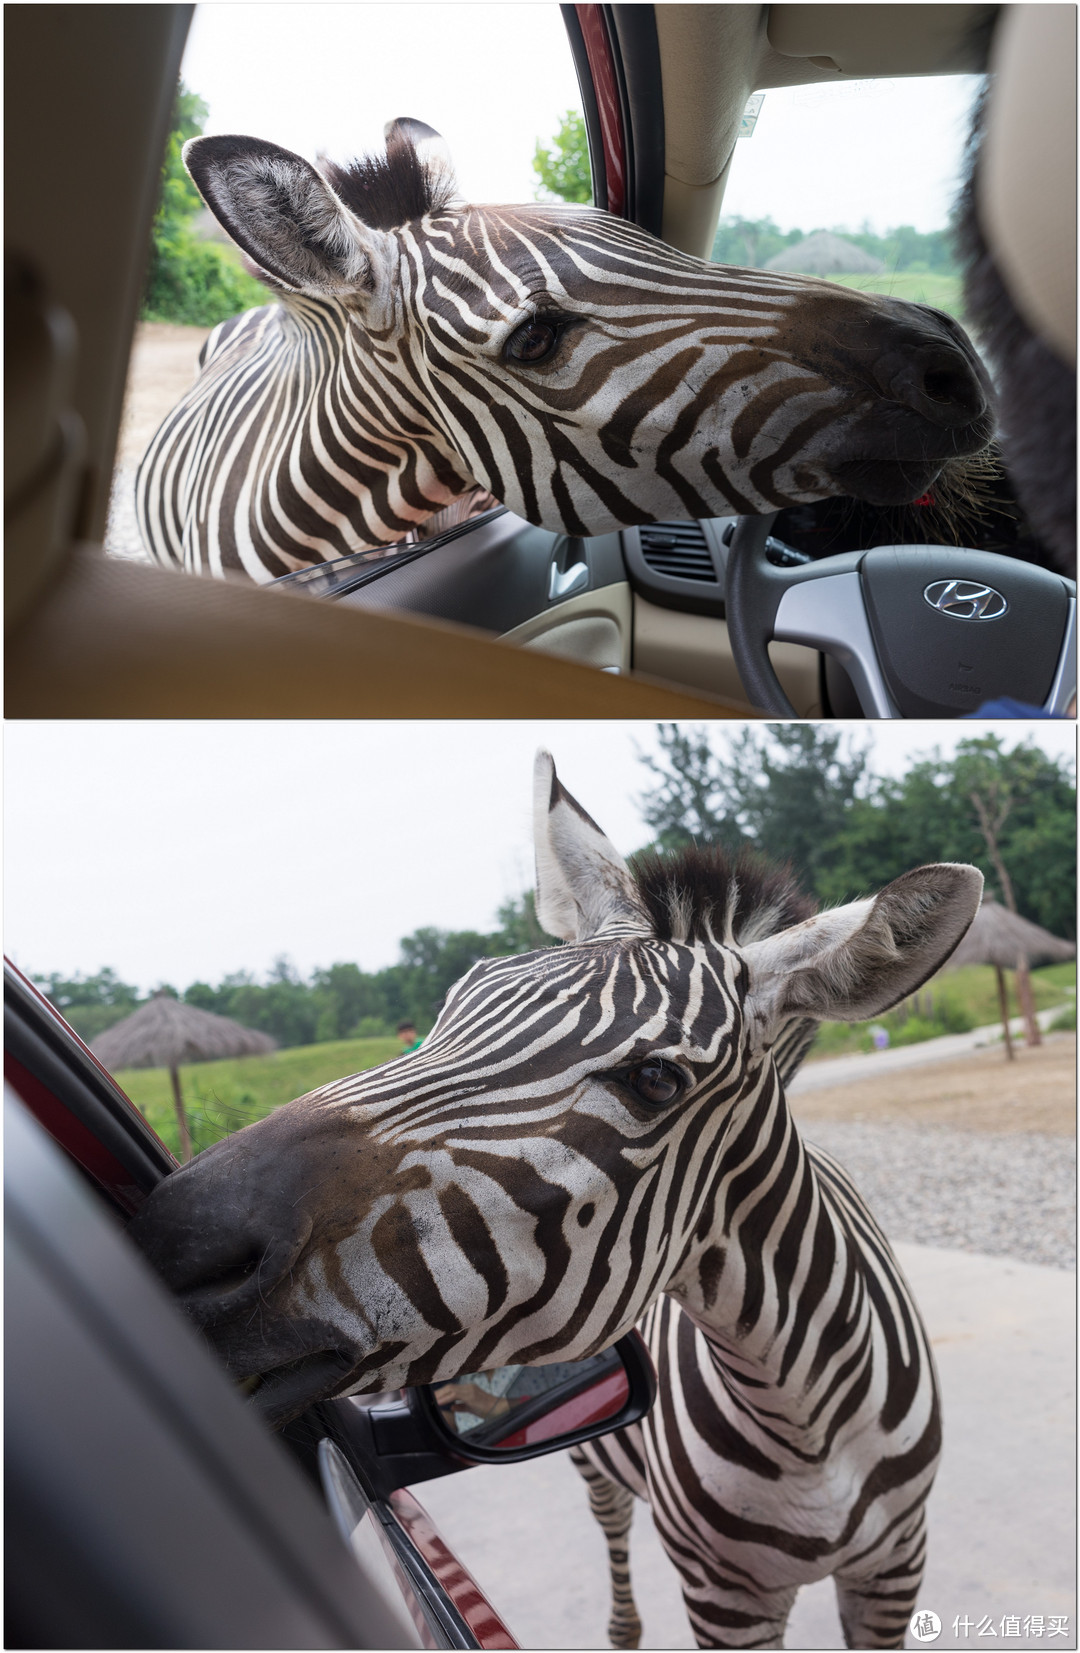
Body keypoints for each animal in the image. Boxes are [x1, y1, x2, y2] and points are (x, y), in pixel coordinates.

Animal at [130, 757, 979, 1646]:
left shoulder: (895, 1567)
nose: (174, 1239)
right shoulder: (723, 1594)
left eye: (655, 1080)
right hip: (589, 1461)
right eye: (453, 1006)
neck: (805, 1414)